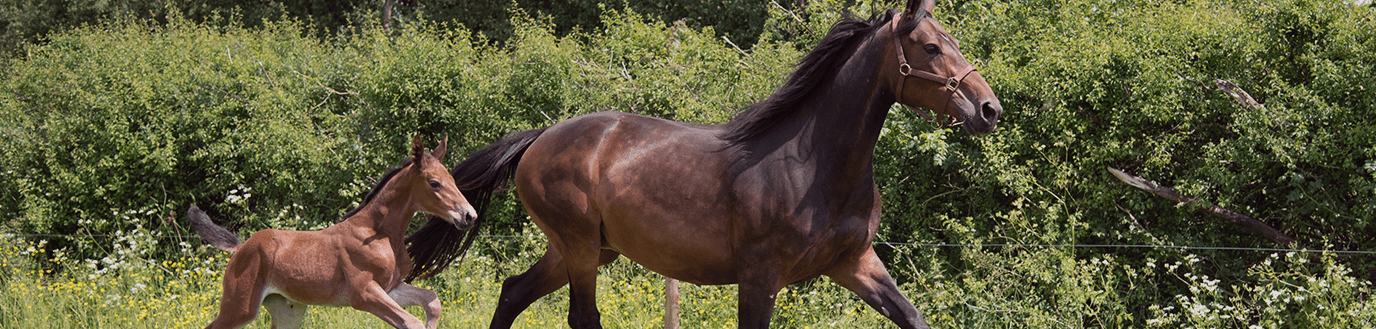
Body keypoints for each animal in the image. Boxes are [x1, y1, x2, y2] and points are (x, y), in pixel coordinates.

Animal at [188, 136, 476, 329]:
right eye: (434, 183)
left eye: (452, 179)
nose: (469, 215)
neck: (378, 232)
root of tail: (241, 247)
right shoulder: (364, 293)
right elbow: (412, 322)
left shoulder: (391, 288)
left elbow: (431, 301)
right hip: (240, 307)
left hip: (287, 309)